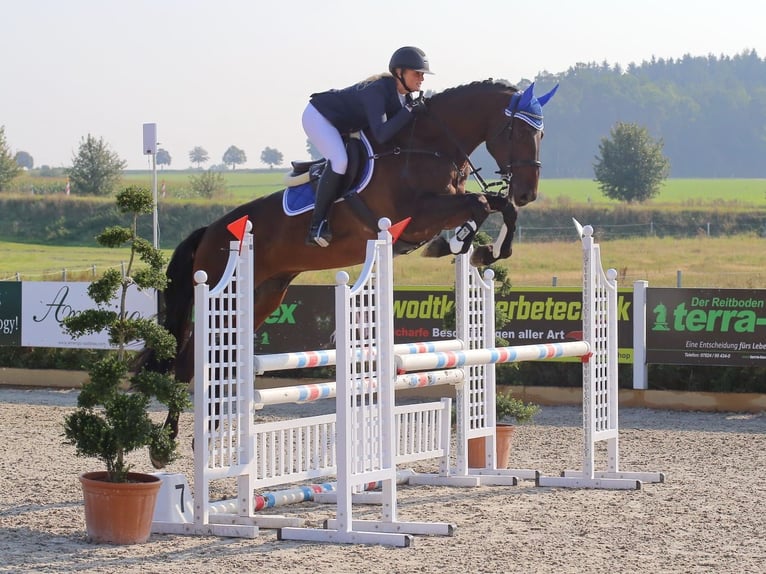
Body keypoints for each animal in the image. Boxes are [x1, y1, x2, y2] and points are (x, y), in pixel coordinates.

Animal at [146, 79, 557, 463]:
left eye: (541, 133)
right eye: (516, 132)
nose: (528, 193)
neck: (428, 145)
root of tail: (209, 231)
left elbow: (498, 206)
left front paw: (485, 250)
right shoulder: (416, 216)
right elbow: (480, 204)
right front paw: (457, 244)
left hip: (265, 295)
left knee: (221, 365)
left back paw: (207, 440)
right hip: (223, 290)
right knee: (190, 363)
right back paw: (166, 446)